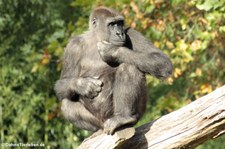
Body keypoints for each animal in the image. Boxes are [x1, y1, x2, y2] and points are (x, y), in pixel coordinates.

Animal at [54, 6, 172, 135]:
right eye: (111, 24)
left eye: (120, 23)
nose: (120, 33)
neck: (97, 38)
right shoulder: (73, 47)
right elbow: (62, 83)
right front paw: (83, 85)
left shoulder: (131, 33)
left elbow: (161, 60)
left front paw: (113, 51)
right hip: (102, 121)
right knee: (66, 104)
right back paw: (97, 131)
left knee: (129, 66)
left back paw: (124, 117)